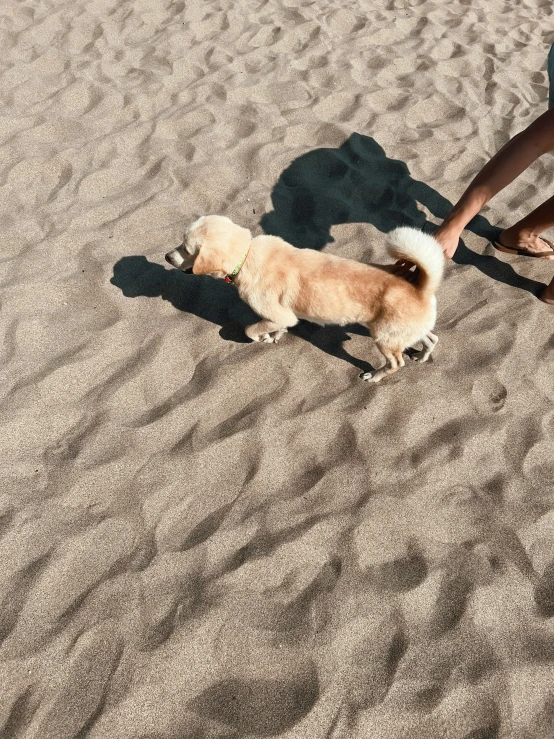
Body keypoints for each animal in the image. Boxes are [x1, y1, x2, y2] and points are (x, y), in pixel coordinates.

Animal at [165, 215, 444, 382]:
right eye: (181, 242)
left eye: (186, 249)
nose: (166, 256)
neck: (247, 254)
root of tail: (421, 289)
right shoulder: (283, 318)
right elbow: (277, 328)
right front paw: (275, 336)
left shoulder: (278, 314)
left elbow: (249, 330)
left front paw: (263, 338)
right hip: (403, 333)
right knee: (431, 339)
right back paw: (421, 356)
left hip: (384, 339)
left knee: (396, 362)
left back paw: (375, 376)